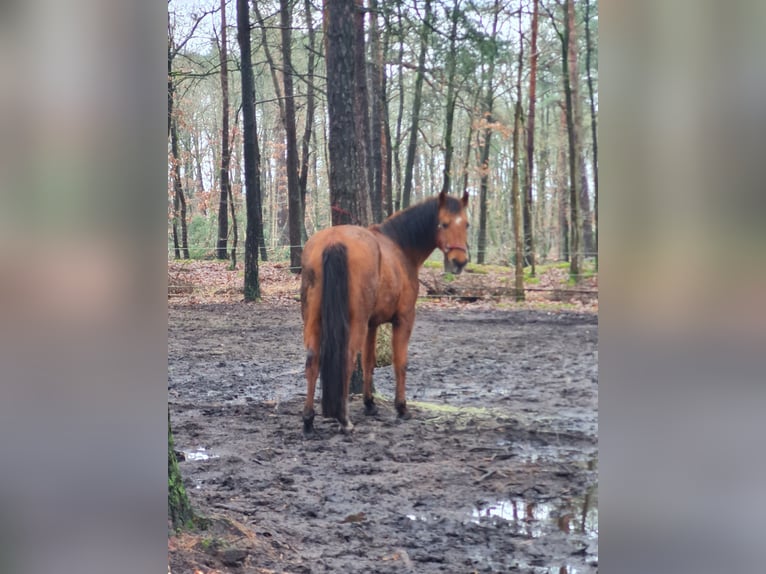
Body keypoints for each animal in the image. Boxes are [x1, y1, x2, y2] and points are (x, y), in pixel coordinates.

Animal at [302, 190, 472, 436]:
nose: (459, 262)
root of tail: (334, 241)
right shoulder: (403, 319)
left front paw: (369, 404)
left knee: (312, 361)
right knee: (347, 359)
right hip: (355, 323)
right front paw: (401, 408)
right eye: (443, 223)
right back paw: (344, 420)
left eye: (466, 224)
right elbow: (400, 361)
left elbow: (368, 361)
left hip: (314, 319)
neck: (399, 246)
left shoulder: (372, 324)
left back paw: (308, 420)